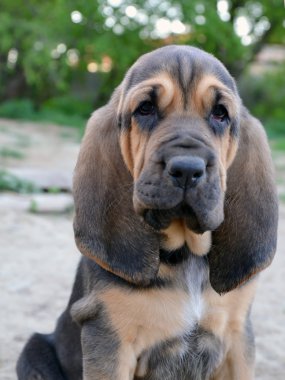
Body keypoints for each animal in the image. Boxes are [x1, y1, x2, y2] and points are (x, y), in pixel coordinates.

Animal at [16, 45, 278, 380]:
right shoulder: (110, 340)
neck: (184, 254)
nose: (187, 169)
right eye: (145, 109)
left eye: (220, 113)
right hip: (33, 352)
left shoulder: (238, 338)